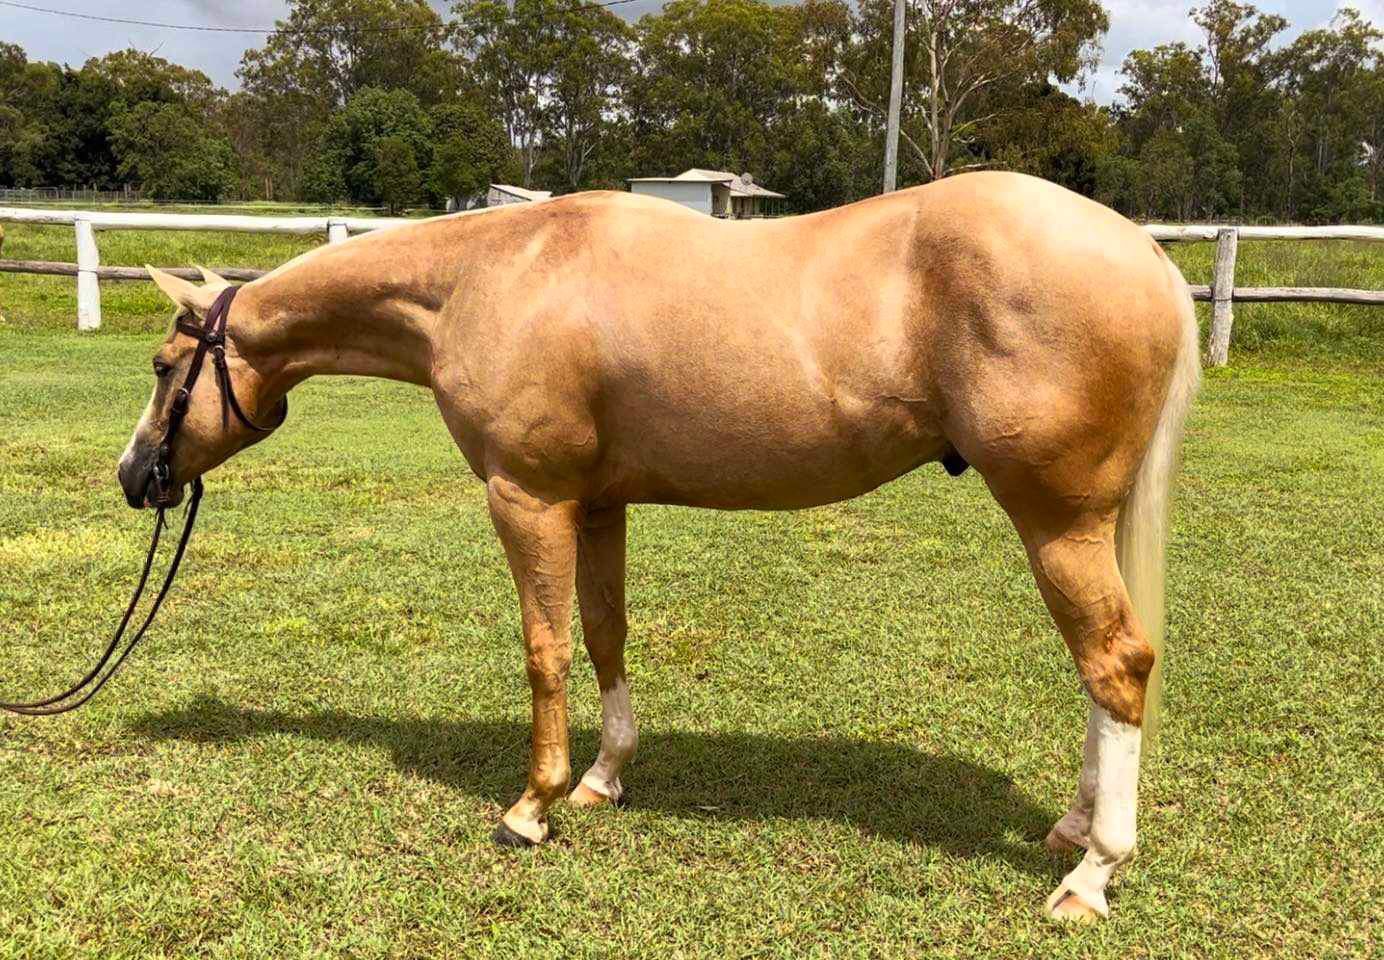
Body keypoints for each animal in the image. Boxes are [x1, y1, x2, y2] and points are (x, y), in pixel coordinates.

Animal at [118, 171, 1199, 921]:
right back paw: (1072, 829)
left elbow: (545, 650)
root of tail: (1148, 260)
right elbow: (605, 635)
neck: (495, 274)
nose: (136, 477)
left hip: (1055, 520)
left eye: (168, 366)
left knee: (1115, 664)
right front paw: (604, 778)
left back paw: (1090, 874)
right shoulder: (597, 505)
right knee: (1102, 674)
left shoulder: (529, 499)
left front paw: (534, 804)